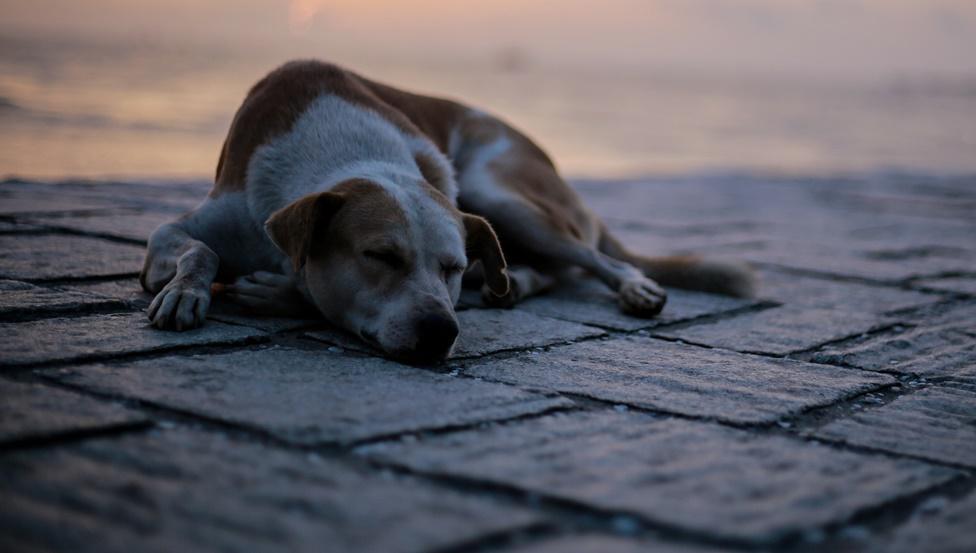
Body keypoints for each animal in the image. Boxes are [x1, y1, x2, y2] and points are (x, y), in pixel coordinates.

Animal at [143, 60, 756, 362]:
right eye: (380, 256)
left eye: (453, 267)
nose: (441, 332)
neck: (344, 149)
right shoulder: (200, 222)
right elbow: (191, 247)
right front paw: (184, 291)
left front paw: (280, 292)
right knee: (544, 270)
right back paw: (514, 284)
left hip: (497, 192)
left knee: (590, 260)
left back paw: (631, 287)